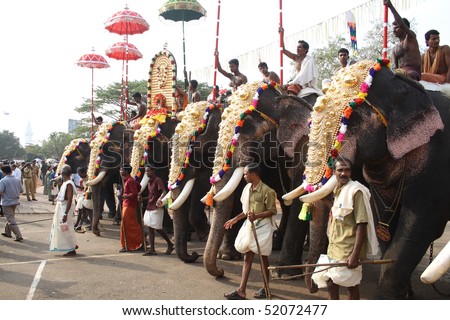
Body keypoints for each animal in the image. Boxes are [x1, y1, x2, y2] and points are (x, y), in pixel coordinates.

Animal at [298, 60, 450, 300]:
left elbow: (421, 224)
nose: (313, 287)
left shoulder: (437, 164)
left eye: (354, 120)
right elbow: (385, 227)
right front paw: (405, 295)